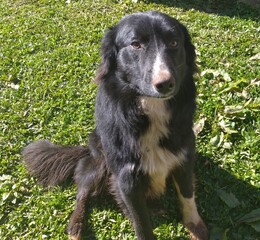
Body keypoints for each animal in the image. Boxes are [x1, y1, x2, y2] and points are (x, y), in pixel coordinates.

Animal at [22, 10, 209, 240]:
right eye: (135, 44)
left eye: (174, 42)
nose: (165, 84)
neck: (150, 108)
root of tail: (86, 150)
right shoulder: (126, 178)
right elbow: (141, 223)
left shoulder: (184, 158)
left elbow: (187, 195)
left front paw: (195, 226)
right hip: (100, 161)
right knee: (83, 190)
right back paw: (76, 225)